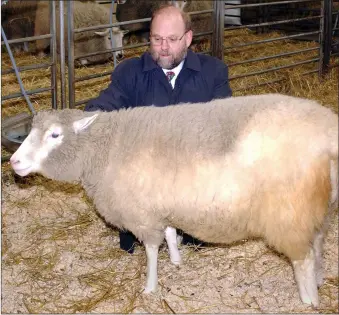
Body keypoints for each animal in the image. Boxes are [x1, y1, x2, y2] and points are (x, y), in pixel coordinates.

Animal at [9, 94, 338, 308]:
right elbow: (169, 233)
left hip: (289, 212)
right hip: (318, 208)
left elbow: (152, 249)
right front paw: (178, 261)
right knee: (318, 245)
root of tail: (329, 132)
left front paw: (150, 287)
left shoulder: (142, 212)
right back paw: (320, 281)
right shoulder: (161, 204)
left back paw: (308, 300)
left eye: (54, 135)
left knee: (303, 259)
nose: (14, 161)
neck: (105, 148)